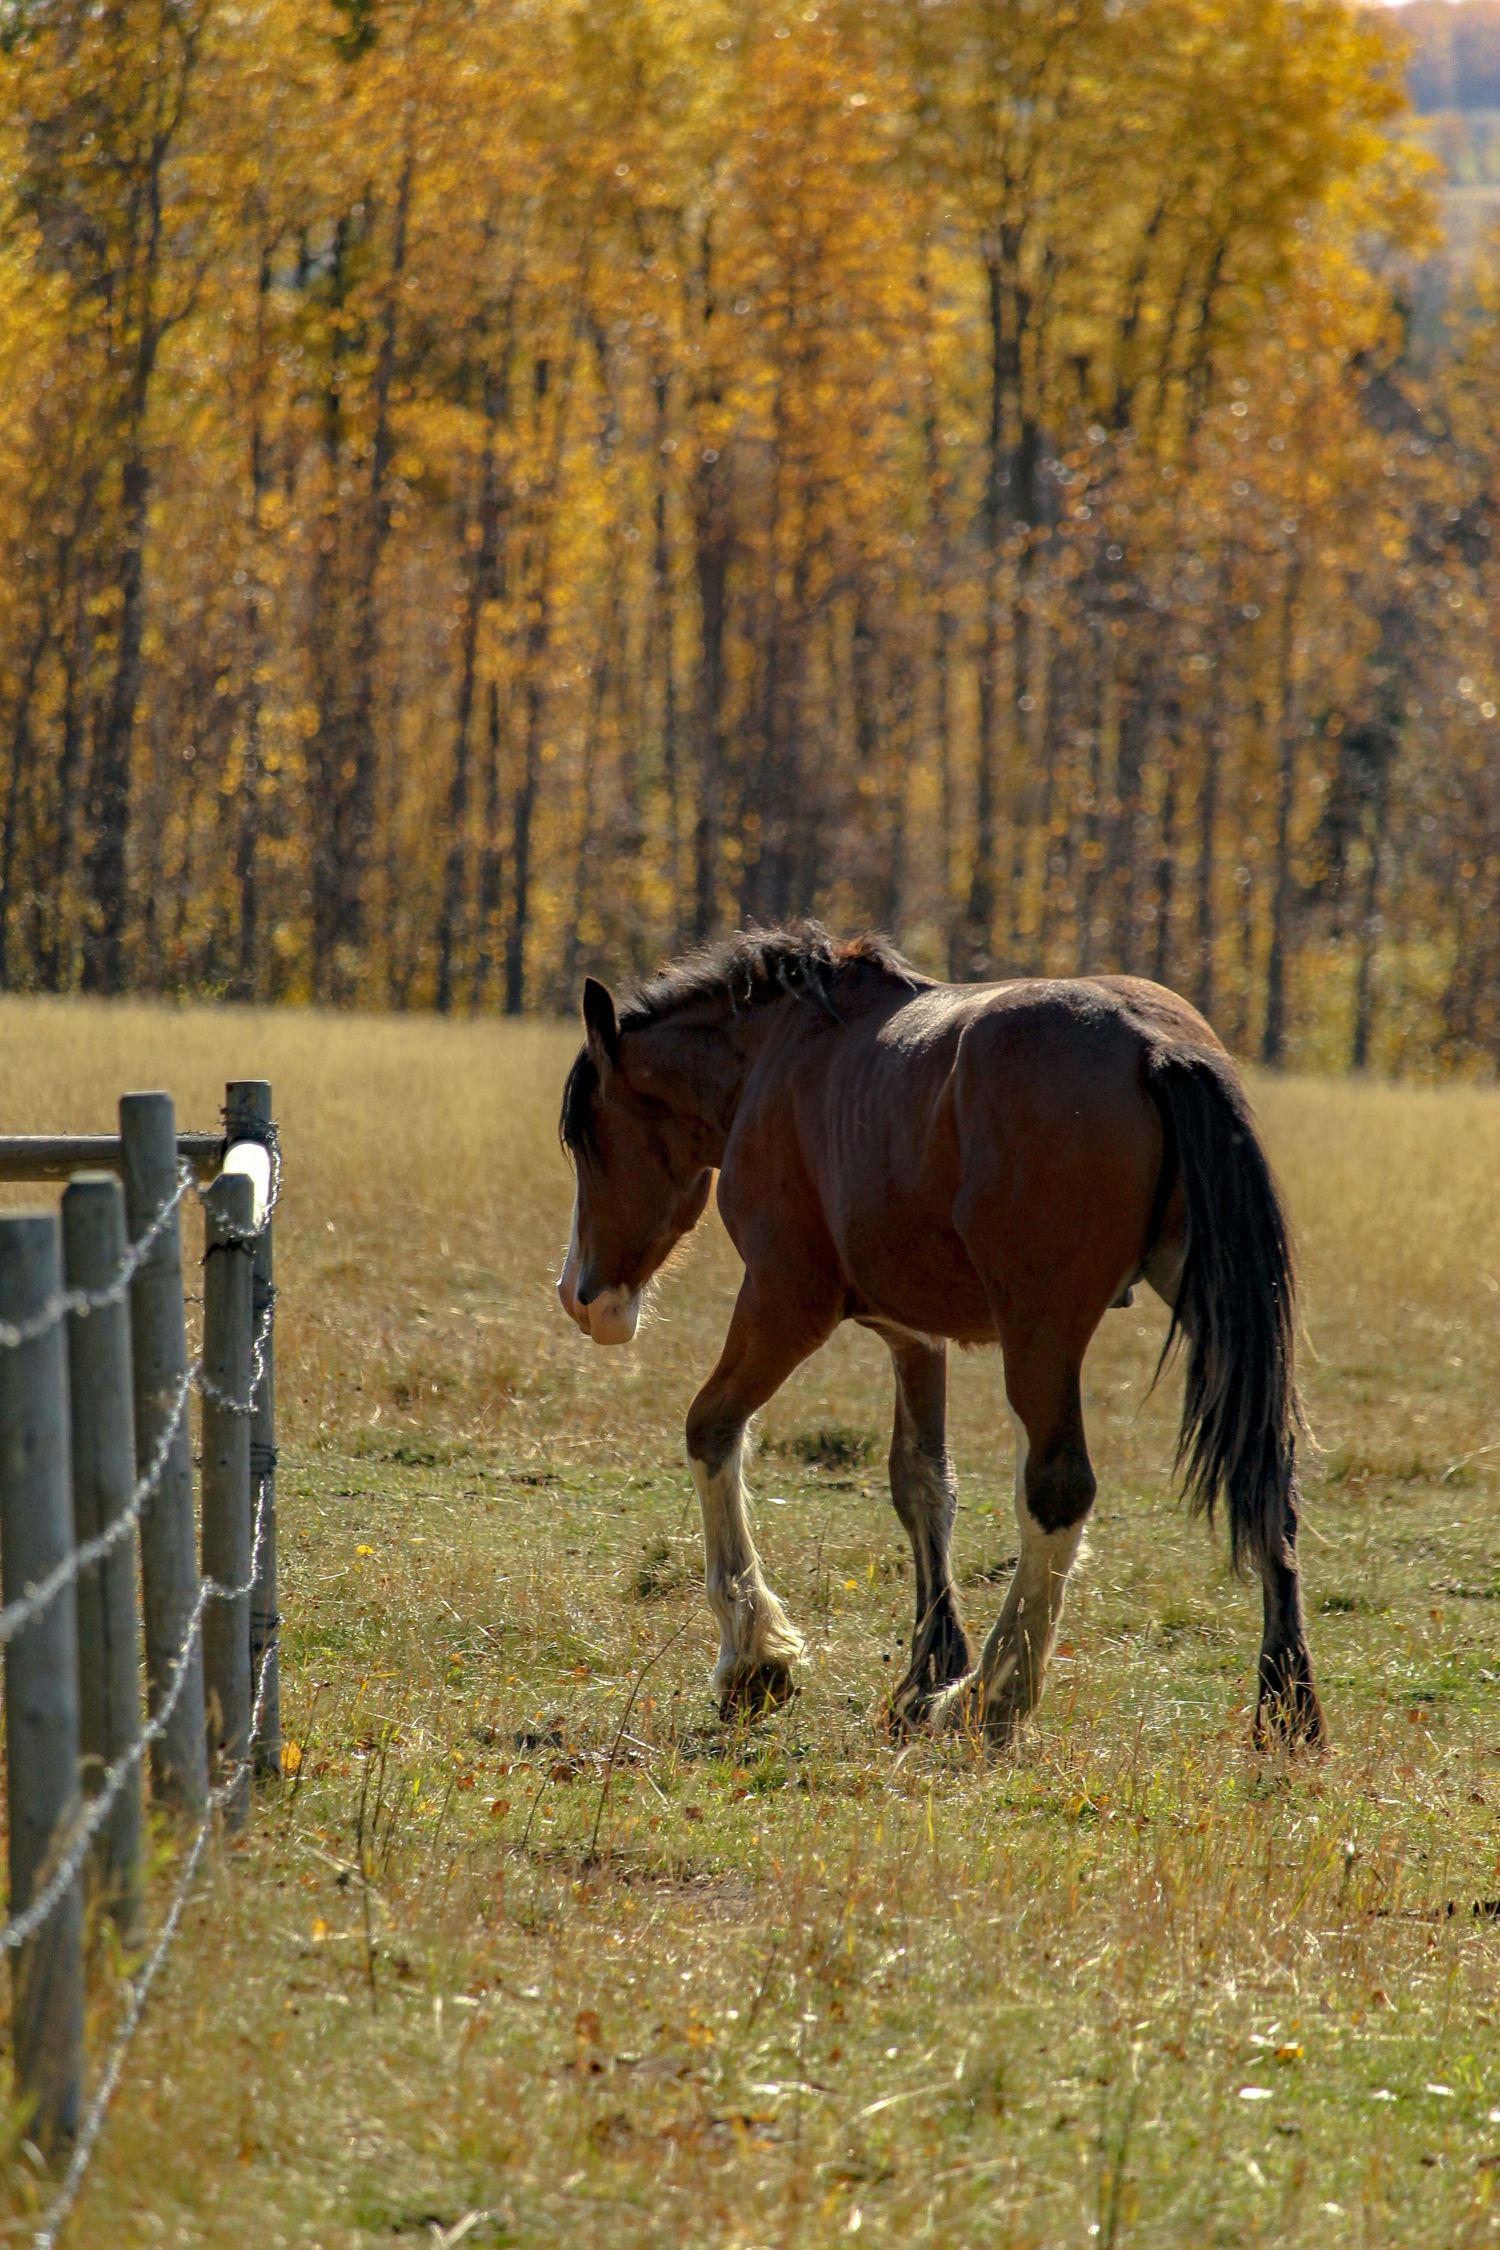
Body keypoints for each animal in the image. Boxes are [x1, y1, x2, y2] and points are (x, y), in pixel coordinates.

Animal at [556, 922, 1324, 1752]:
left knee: (1059, 1488)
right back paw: (1287, 1702)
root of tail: (1155, 1045)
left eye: (587, 1134)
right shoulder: (913, 1335)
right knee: (1269, 1477)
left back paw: (993, 1694)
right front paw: (922, 1672)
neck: (781, 1056)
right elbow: (922, 1483)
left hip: (1041, 1331)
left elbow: (712, 1429)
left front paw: (753, 1659)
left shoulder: (784, 1301)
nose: (581, 1297)